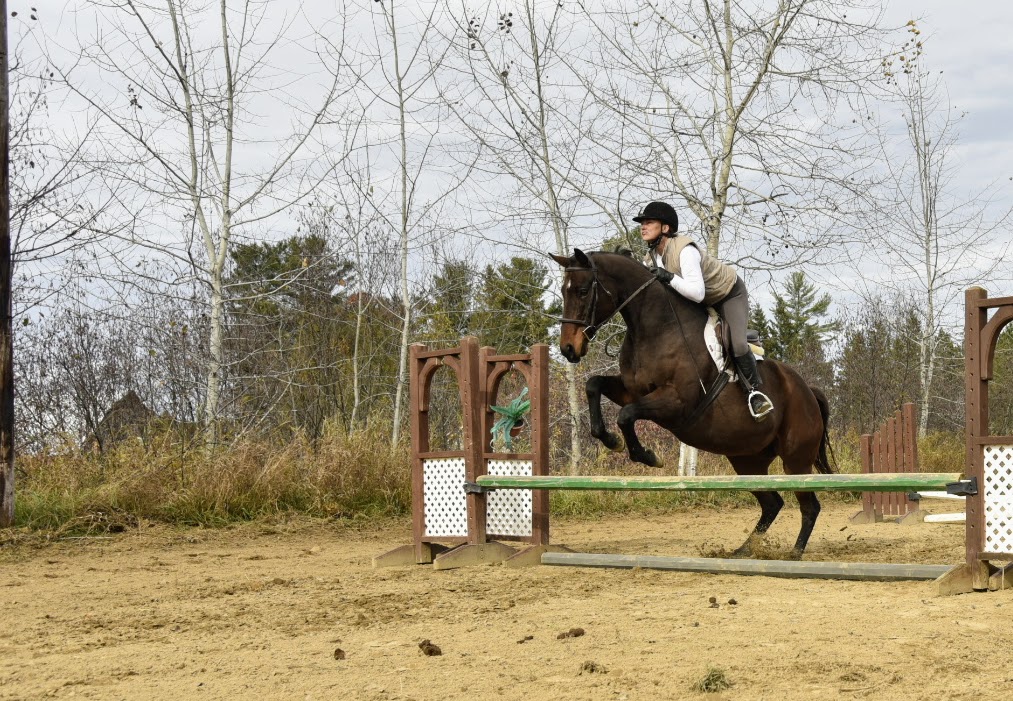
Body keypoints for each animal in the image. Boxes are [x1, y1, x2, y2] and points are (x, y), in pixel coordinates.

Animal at [555, 248, 830, 559]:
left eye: (583, 290)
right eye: (563, 291)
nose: (568, 348)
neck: (657, 329)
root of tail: (808, 390)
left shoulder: (676, 403)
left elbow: (626, 415)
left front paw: (648, 456)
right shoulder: (632, 391)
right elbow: (594, 386)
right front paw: (611, 440)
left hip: (796, 459)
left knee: (809, 506)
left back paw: (794, 554)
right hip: (747, 459)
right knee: (772, 503)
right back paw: (743, 551)